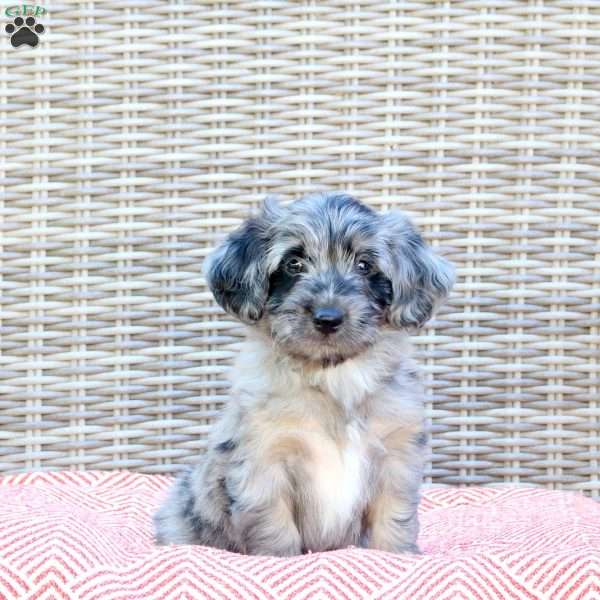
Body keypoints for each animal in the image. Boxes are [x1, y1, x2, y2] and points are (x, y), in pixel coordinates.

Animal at [155, 191, 454, 552]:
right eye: (293, 263)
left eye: (365, 265)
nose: (328, 318)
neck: (333, 376)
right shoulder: (264, 462)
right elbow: (274, 528)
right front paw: (278, 557)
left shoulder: (396, 457)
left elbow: (394, 520)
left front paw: (397, 554)